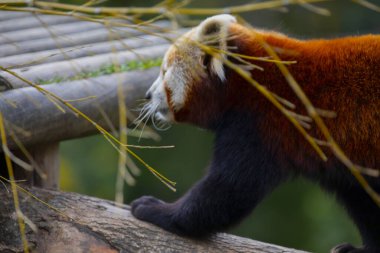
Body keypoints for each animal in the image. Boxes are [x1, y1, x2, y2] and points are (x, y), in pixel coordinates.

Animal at [131, 14, 380, 253]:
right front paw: (368, 248)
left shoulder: (261, 122)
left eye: (165, 72)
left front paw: (156, 209)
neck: (246, 81)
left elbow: (230, 188)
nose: (147, 95)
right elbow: (364, 200)